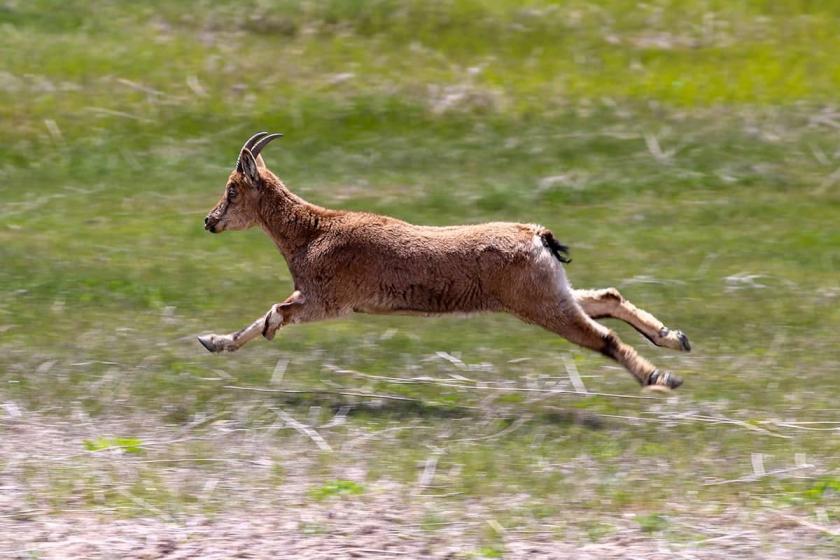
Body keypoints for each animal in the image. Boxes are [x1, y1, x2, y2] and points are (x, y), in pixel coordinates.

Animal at [200, 134, 692, 392]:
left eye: (232, 190)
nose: (209, 221)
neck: (313, 232)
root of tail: (538, 236)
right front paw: (212, 341)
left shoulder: (325, 301)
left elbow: (273, 314)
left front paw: (231, 337)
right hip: (552, 292)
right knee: (607, 298)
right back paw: (675, 338)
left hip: (541, 305)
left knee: (603, 336)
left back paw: (661, 377)